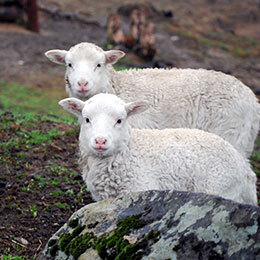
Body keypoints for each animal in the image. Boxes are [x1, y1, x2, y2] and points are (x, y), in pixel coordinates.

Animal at [45, 41, 260, 157]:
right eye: (69, 64)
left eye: (99, 64)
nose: (82, 84)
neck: (116, 87)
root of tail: (252, 100)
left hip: (231, 131)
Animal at [58, 93, 256, 205]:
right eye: (87, 119)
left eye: (120, 120)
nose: (100, 141)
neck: (130, 152)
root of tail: (247, 171)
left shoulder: (141, 189)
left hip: (220, 188)